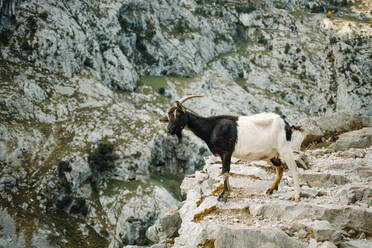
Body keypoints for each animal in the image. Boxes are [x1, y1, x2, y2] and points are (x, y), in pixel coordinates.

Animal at [160, 95, 302, 202]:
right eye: (169, 116)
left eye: (178, 114)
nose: (169, 129)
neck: (211, 127)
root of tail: (287, 125)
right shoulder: (224, 154)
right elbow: (225, 172)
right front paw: (228, 191)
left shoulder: (226, 152)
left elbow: (225, 172)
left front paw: (223, 195)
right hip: (271, 154)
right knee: (280, 168)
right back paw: (271, 189)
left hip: (284, 147)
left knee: (294, 168)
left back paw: (296, 196)